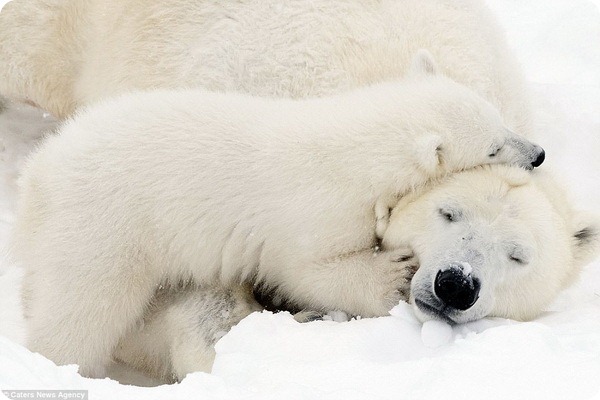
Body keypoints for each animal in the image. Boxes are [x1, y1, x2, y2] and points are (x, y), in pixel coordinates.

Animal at [10, 57, 544, 378]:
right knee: (84, 306)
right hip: (105, 224)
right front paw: (391, 274)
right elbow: (309, 269)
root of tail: (38, 175)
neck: (353, 145)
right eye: (493, 146)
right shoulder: (317, 208)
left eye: (500, 118)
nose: (538, 154)